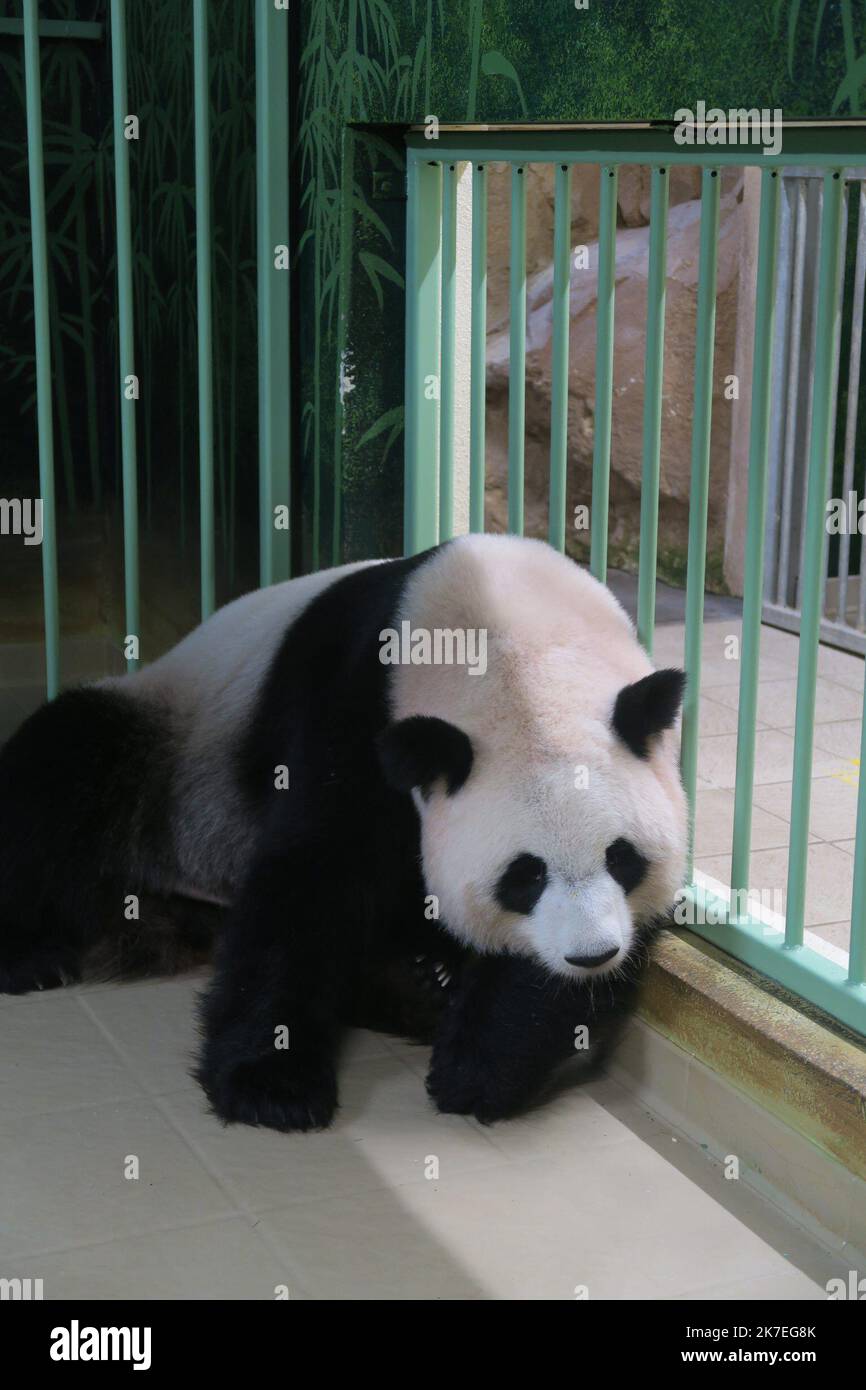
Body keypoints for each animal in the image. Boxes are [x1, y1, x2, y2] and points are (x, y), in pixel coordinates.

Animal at [1, 530, 692, 1128]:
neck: (518, 652)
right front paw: (271, 1086)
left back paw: (423, 984)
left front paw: (480, 1066)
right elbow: (313, 871)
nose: (591, 954)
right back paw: (31, 956)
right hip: (168, 741)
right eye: (525, 877)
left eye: (622, 859)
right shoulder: (353, 701)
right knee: (64, 764)